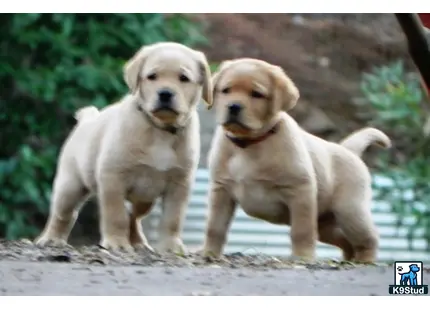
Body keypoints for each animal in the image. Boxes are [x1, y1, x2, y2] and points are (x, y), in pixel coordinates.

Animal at [34, 41, 212, 252]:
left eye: (183, 78)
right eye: (152, 76)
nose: (165, 94)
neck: (159, 130)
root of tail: (87, 119)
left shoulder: (179, 184)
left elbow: (172, 219)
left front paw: (171, 247)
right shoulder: (113, 178)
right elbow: (116, 215)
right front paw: (117, 243)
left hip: (145, 199)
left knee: (133, 217)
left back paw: (139, 242)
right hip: (70, 185)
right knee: (63, 214)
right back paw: (51, 239)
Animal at [203, 57, 392, 262]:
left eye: (256, 94)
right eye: (226, 90)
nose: (233, 107)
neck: (249, 144)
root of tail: (348, 149)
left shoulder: (300, 191)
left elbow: (302, 230)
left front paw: (302, 257)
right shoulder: (221, 190)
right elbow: (215, 227)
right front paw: (210, 252)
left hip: (350, 211)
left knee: (368, 237)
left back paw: (365, 260)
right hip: (326, 224)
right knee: (345, 241)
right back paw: (348, 260)